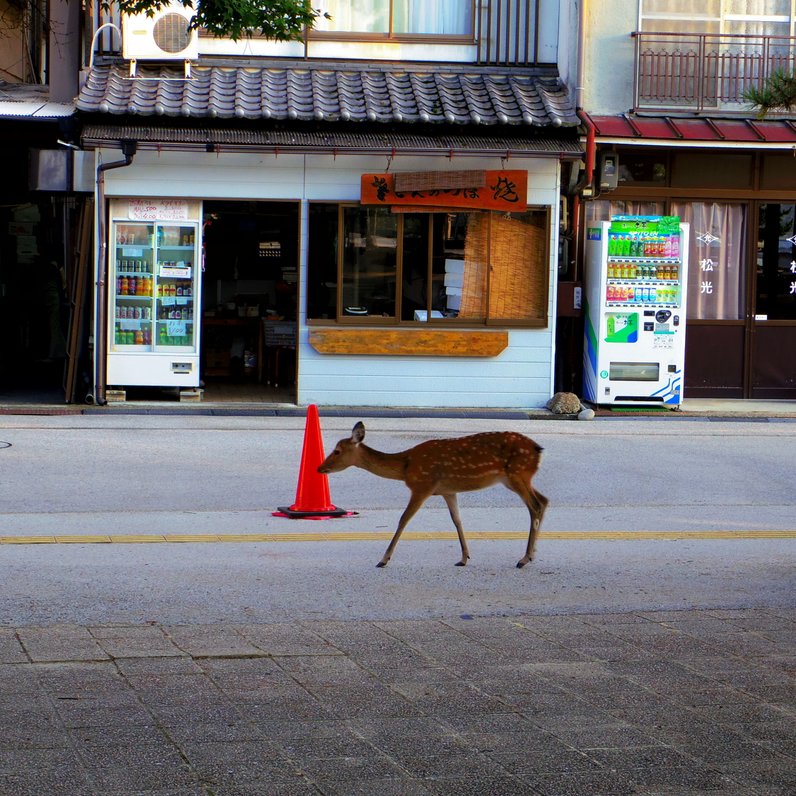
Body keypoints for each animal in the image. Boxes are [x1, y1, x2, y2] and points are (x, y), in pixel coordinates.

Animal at [318, 422, 548, 564]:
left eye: (337, 451)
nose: (320, 468)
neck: (405, 467)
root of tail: (538, 450)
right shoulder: (448, 491)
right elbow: (457, 520)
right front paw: (464, 558)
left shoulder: (423, 485)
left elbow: (403, 519)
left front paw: (383, 559)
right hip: (515, 478)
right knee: (544, 500)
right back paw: (533, 554)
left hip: (518, 473)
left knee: (535, 506)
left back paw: (524, 558)